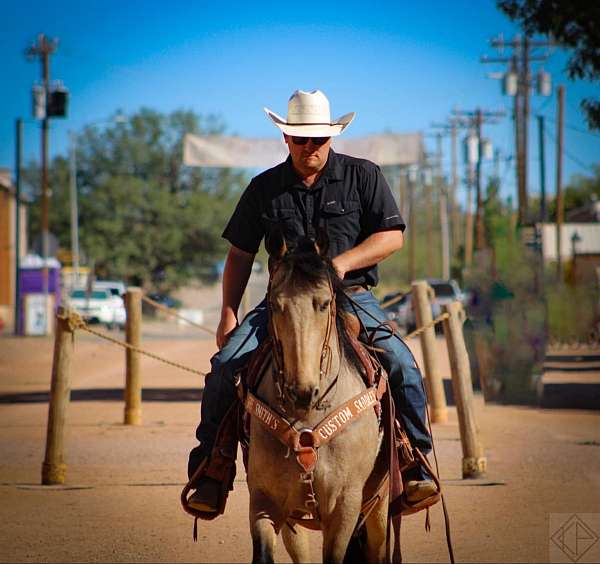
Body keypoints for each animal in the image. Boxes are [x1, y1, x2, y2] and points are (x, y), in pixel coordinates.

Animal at [244, 231, 394, 560]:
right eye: (275, 305)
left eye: (324, 304)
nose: (301, 391)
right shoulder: (264, 499)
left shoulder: (345, 505)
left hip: (379, 501)